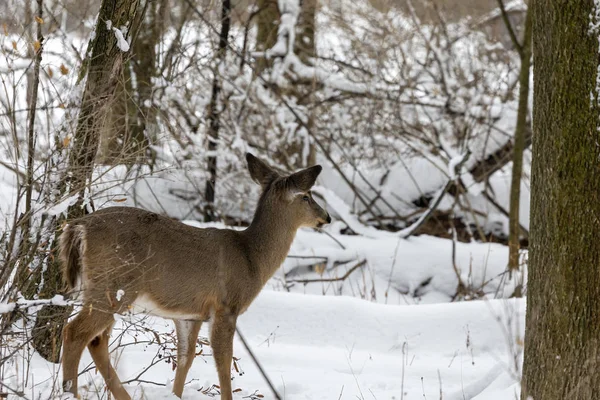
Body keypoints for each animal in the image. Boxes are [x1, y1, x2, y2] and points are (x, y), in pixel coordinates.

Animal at [58, 152, 330, 398]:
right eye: (307, 196)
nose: (326, 217)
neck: (250, 258)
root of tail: (78, 226)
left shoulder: (191, 314)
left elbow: (185, 359)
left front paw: (176, 394)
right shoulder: (225, 307)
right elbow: (223, 364)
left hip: (106, 289)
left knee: (96, 340)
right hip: (113, 285)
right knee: (75, 333)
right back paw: (71, 393)